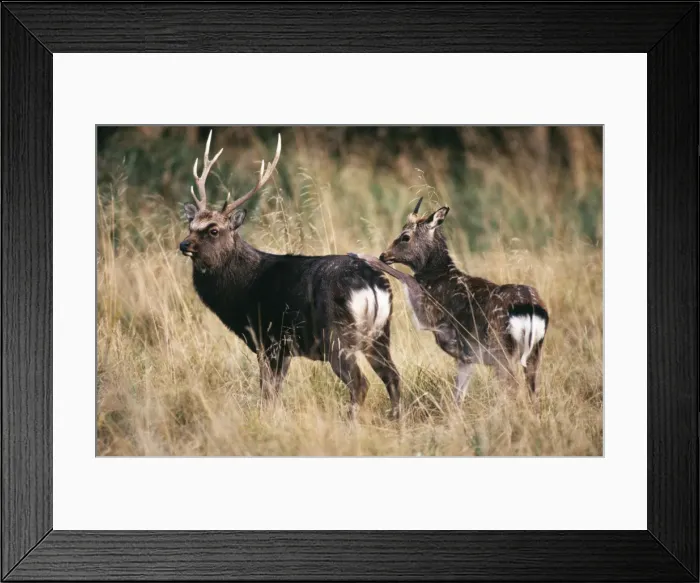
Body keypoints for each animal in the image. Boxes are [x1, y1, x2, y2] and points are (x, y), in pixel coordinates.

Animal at [178, 131, 401, 419]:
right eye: (191, 225)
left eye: (213, 230)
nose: (184, 244)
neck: (242, 288)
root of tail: (372, 284)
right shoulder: (283, 348)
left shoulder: (268, 339)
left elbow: (268, 392)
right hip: (381, 333)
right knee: (393, 377)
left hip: (335, 336)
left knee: (360, 383)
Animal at [350, 198, 549, 404]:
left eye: (405, 236)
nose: (384, 255)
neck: (439, 277)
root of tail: (530, 310)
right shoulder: (466, 358)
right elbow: (458, 397)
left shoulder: (429, 314)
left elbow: (407, 278)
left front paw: (362, 256)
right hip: (534, 353)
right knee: (532, 389)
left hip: (501, 349)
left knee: (512, 387)